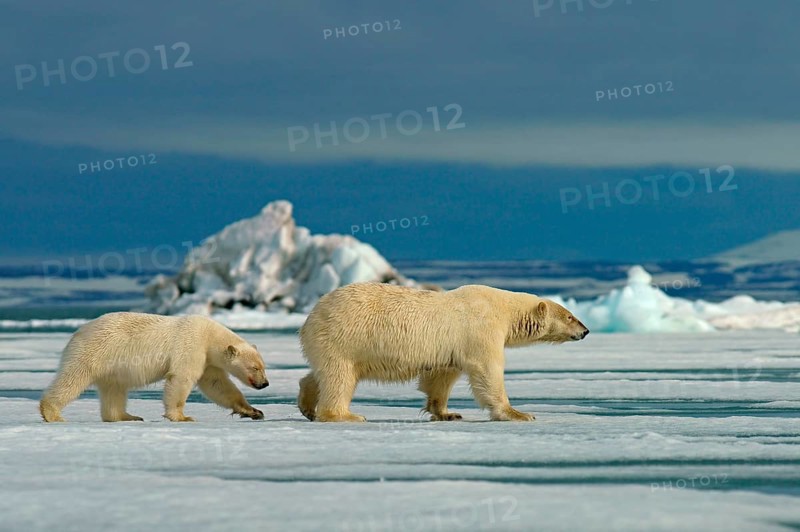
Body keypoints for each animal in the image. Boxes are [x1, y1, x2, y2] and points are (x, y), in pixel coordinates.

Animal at [39, 312, 269, 422]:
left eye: (263, 366)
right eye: (255, 368)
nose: (265, 383)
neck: (210, 335)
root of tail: (77, 332)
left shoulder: (208, 360)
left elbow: (217, 385)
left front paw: (254, 411)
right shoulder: (191, 346)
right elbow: (181, 378)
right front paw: (182, 417)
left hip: (111, 366)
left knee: (114, 390)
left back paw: (128, 416)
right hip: (93, 352)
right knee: (72, 378)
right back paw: (52, 413)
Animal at [297, 283, 589, 422]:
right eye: (570, 316)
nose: (585, 330)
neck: (503, 308)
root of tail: (310, 318)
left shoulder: (451, 347)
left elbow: (441, 375)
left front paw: (447, 413)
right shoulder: (481, 329)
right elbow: (488, 370)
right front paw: (518, 413)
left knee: (321, 373)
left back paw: (307, 405)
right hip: (345, 337)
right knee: (339, 377)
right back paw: (345, 415)